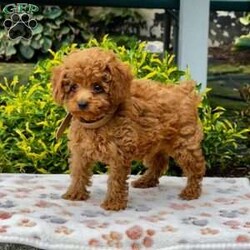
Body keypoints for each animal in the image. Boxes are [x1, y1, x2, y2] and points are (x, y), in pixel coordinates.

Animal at [52, 47, 205, 211]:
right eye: (73, 87)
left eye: (97, 87)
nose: (81, 104)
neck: (96, 122)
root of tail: (184, 90)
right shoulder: (80, 151)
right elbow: (78, 172)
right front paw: (74, 193)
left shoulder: (119, 153)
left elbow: (116, 179)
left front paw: (113, 203)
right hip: (155, 141)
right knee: (159, 162)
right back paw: (146, 181)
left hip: (184, 142)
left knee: (196, 166)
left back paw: (191, 191)